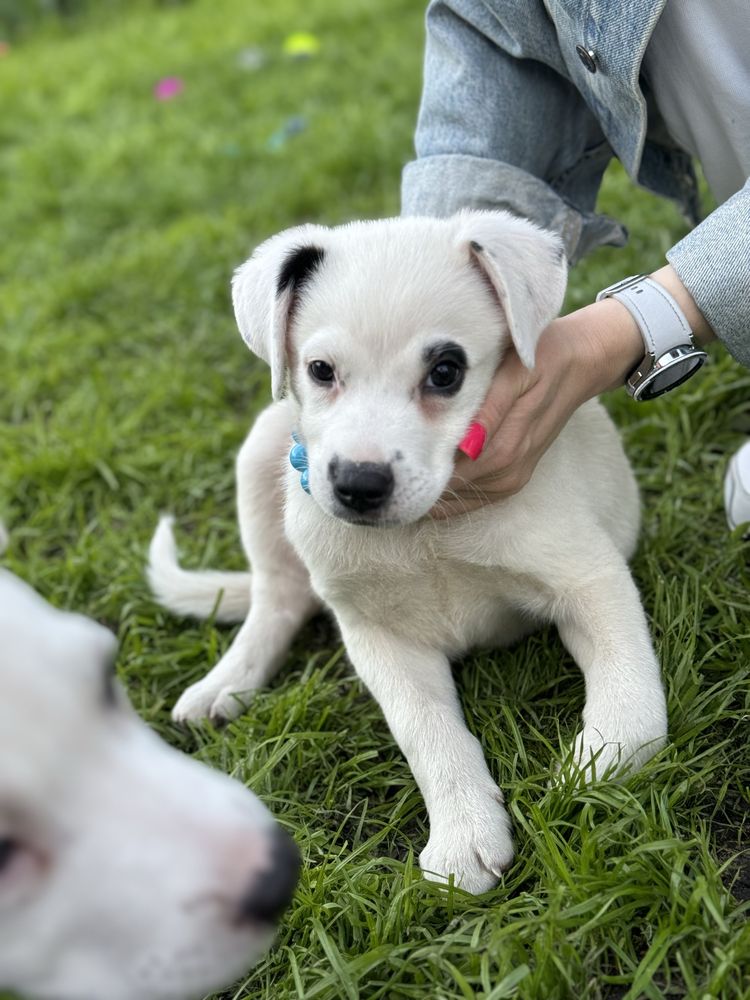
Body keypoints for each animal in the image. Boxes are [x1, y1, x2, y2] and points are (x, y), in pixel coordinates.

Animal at [150, 209, 668, 892]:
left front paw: (592, 771)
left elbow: (631, 705)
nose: (358, 485)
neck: (424, 532)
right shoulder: (378, 636)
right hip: (262, 453)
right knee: (278, 596)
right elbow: (428, 734)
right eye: (320, 370)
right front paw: (465, 834)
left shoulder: (588, 577)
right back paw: (226, 681)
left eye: (446, 372)